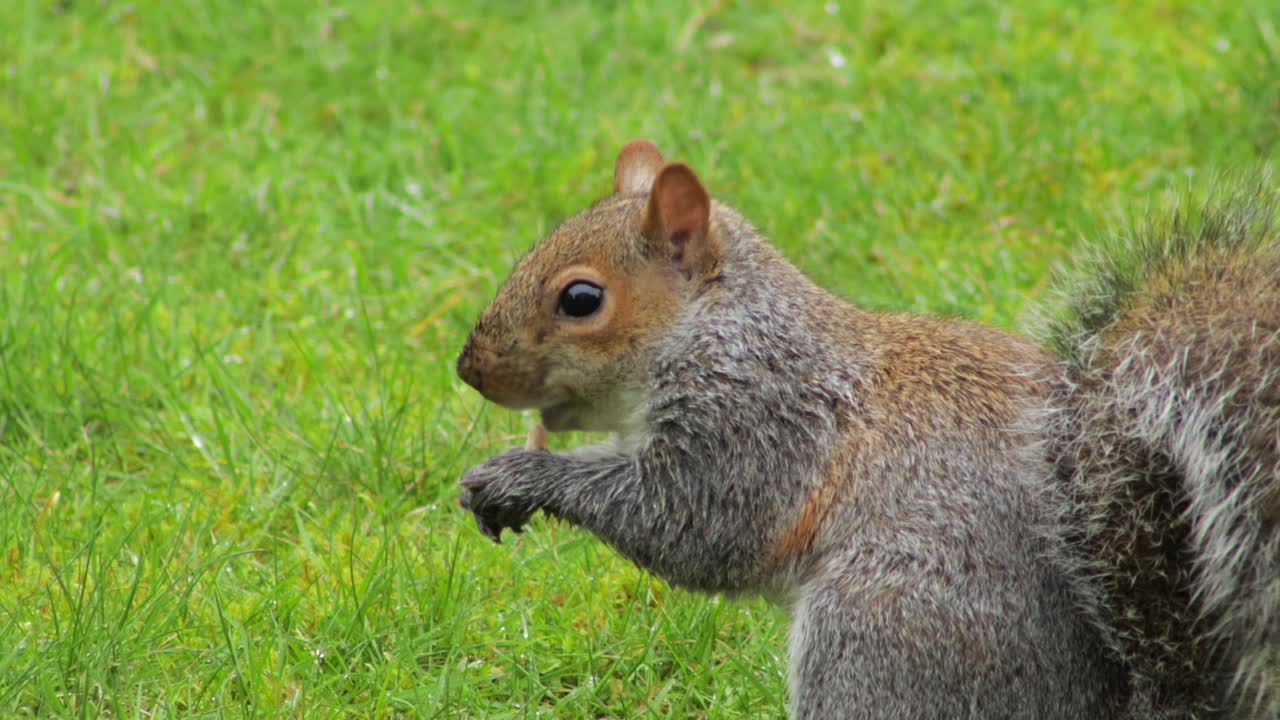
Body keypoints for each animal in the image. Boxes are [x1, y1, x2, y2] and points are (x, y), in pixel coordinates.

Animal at [455, 140, 1279, 719]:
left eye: (581, 299)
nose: (469, 369)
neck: (721, 330)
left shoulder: (763, 426)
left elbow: (695, 524)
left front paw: (517, 478)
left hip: (880, 631)